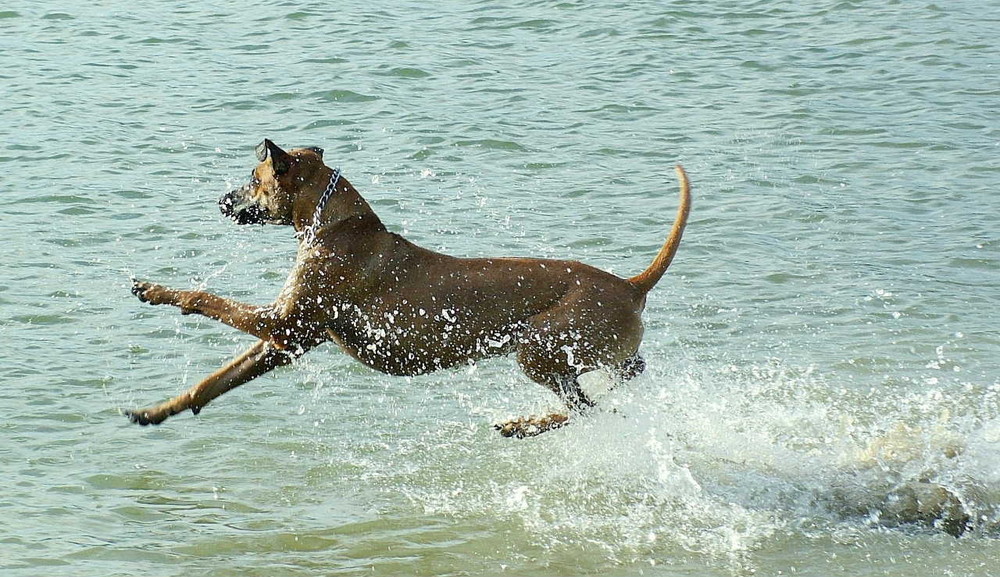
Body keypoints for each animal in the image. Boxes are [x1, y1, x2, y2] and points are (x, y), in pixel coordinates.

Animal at [127, 140, 688, 436]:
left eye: (252, 176)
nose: (221, 200)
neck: (333, 221)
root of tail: (630, 286)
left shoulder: (284, 322)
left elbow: (206, 298)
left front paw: (157, 290)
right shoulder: (287, 341)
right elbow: (214, 380)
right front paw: (158, 410)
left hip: (537, 347)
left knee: (591, 410)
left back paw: (522, 424)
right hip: (582, 353)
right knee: (619, 384)